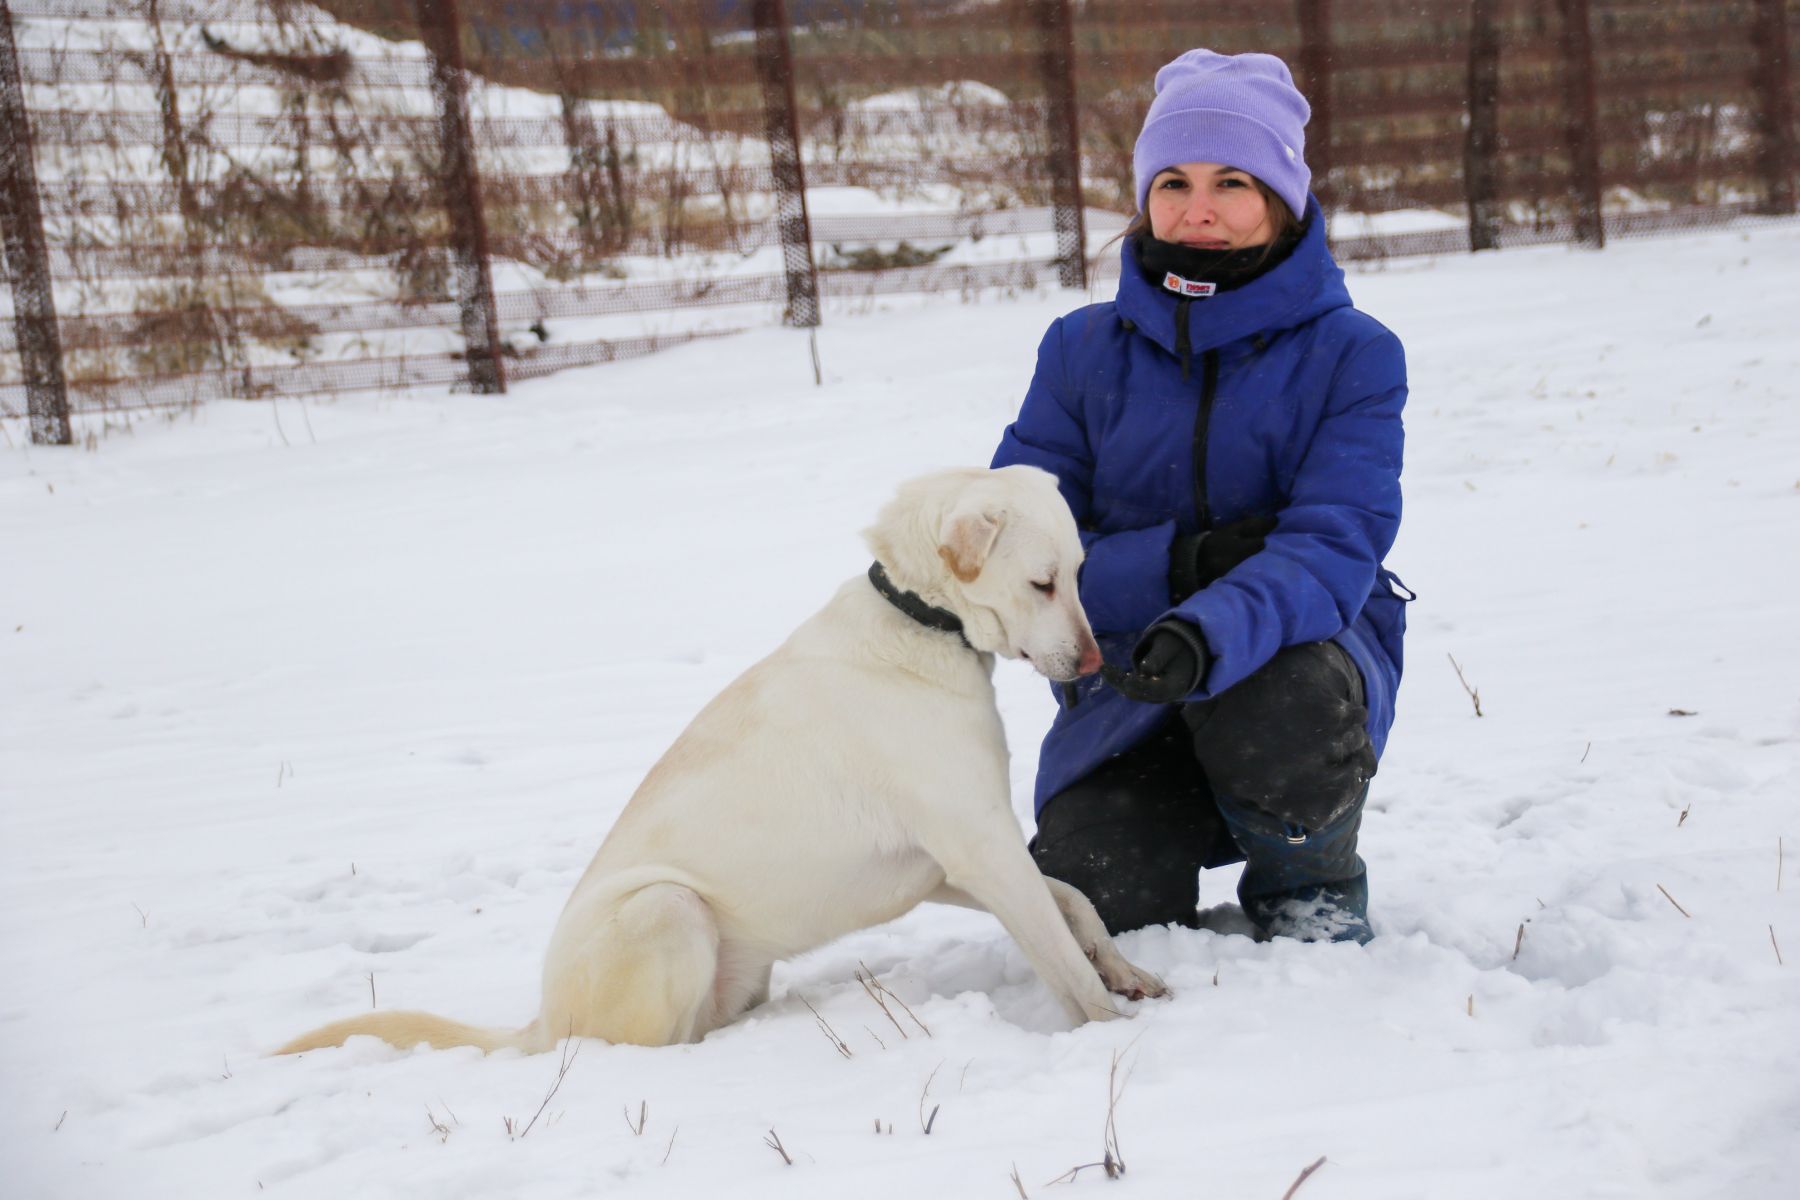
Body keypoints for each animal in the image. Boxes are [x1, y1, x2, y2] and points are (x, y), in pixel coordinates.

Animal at [280, 464, 1166, 1057]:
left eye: (1080, 574)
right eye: (1041, 582)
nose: (1096, 663)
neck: (921, 621)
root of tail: (539, 1021)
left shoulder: (957, 862)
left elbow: (1073, 904)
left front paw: (1126, 972)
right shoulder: (978, 848)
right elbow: (1058, 951)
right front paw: (1109, 1029)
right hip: (668, 908)